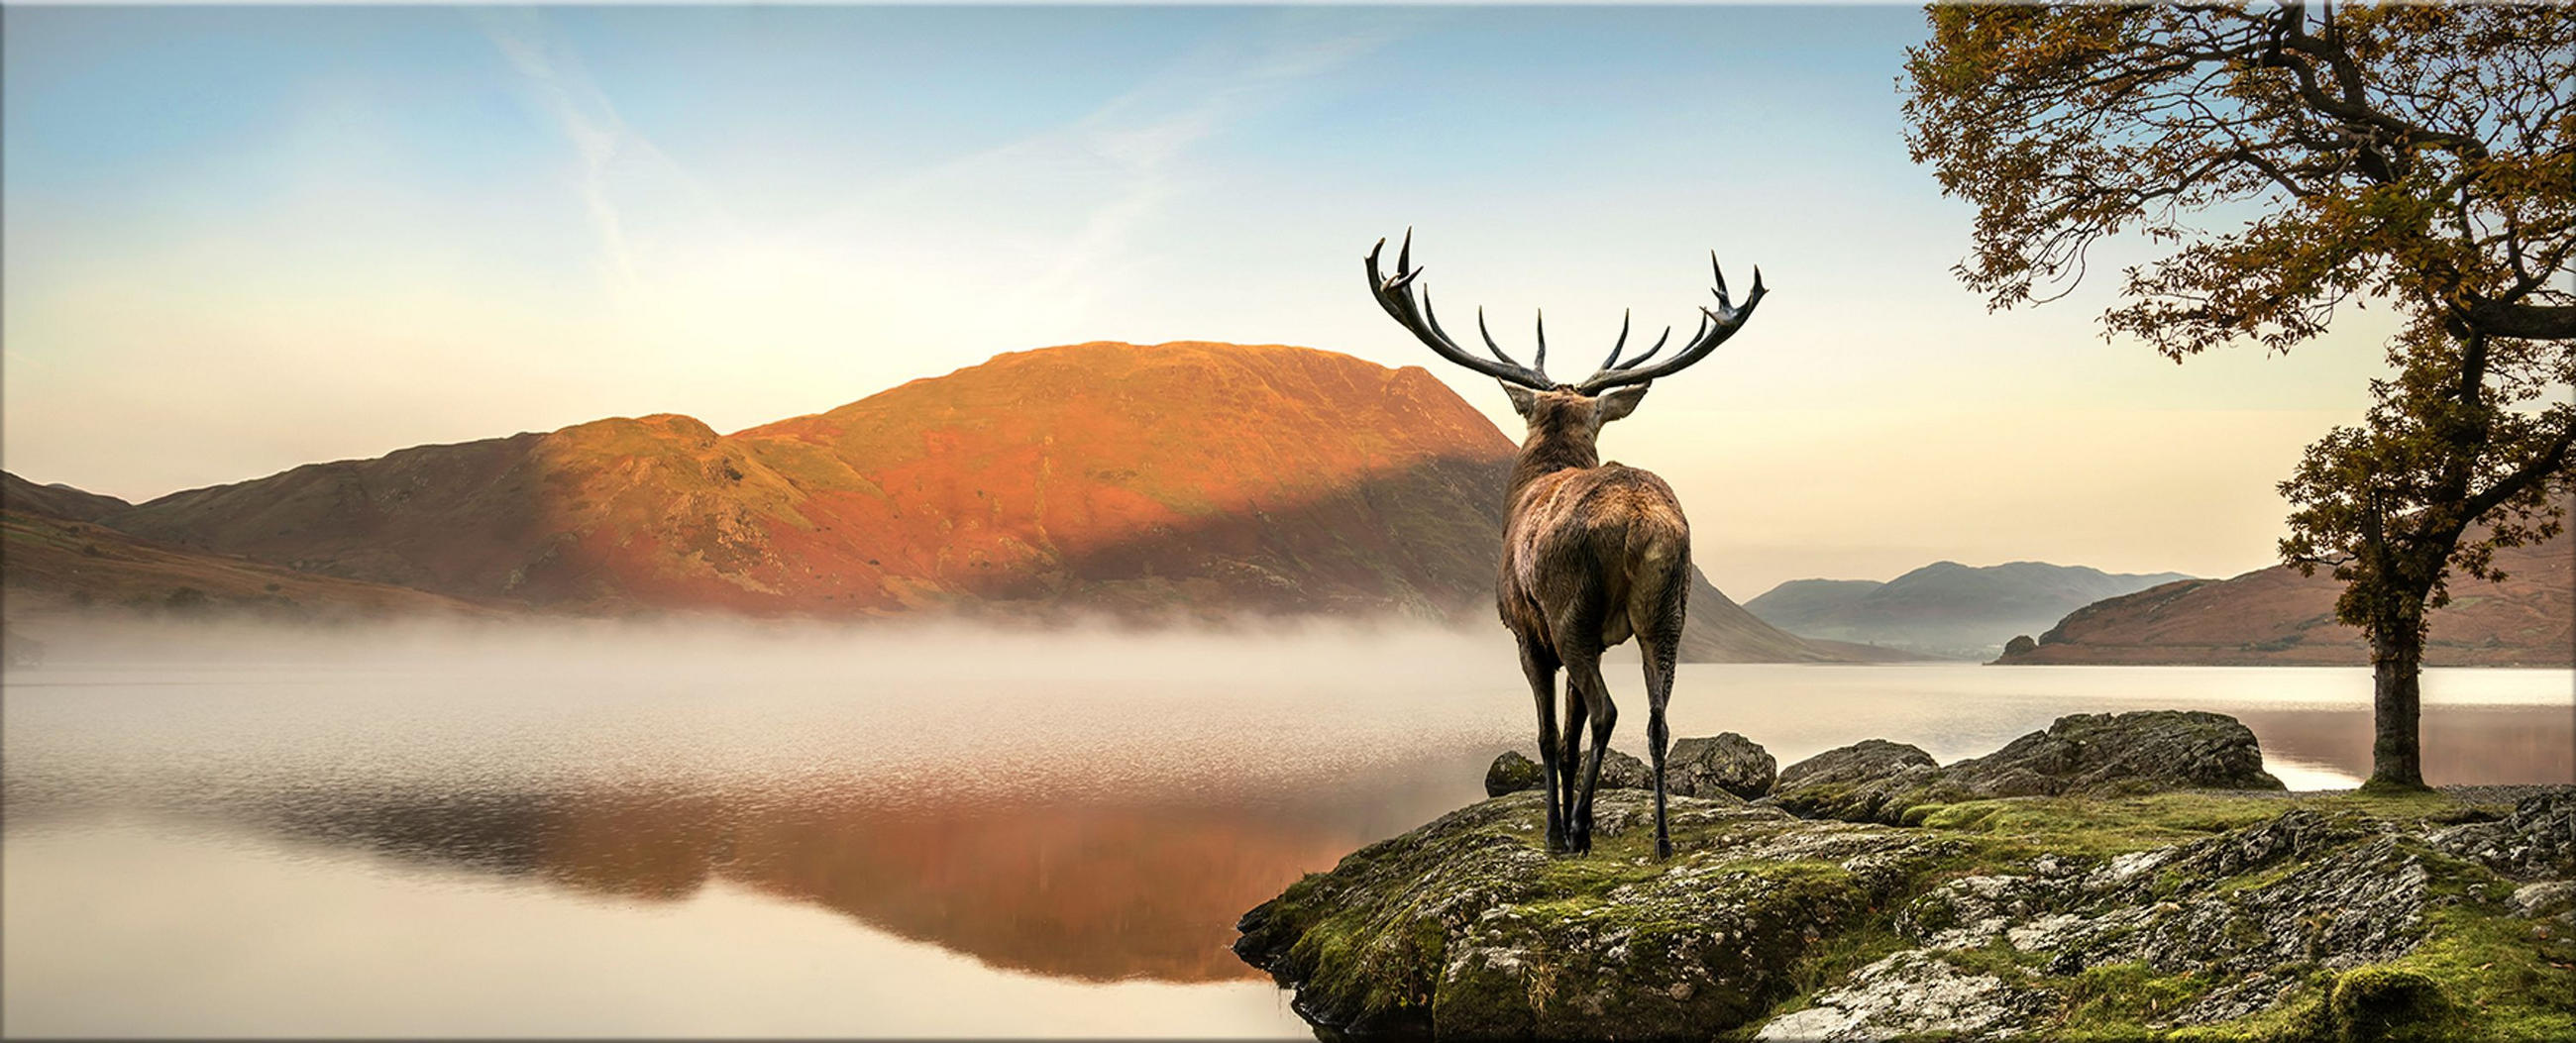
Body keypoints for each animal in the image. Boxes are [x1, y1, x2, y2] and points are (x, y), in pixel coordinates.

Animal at [1364, 230, 1765, 859]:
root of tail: (1638, 522)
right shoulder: (1602, 637)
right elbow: (1573, 738)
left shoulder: (1528, 633)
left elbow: (1552, 735)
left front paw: (1557, 829)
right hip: (1668, 613)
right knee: (1657, 721)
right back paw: (1661, 840)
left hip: (1570, 610)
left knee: (1607, 711)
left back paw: (1575, 829)